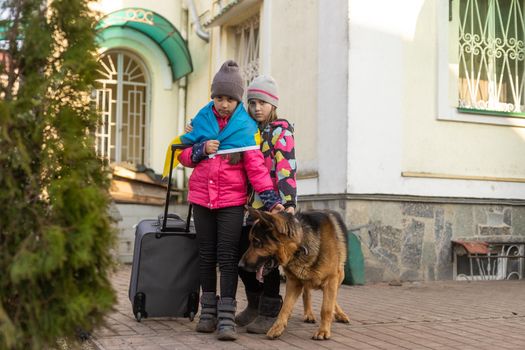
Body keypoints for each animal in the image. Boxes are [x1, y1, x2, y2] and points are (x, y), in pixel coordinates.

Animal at [239, 208, 350, 340]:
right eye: (251, 241)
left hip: (340, 275)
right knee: (307, 293)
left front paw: (323, 330)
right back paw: (309, 314)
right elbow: (285, 307)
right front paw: (277, 327)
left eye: (256, 242)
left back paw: (339, 314)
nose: (240, 265)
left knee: (333, 297)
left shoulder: (331, 279)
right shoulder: (294, 283)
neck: (299, 244)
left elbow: (326, 308)